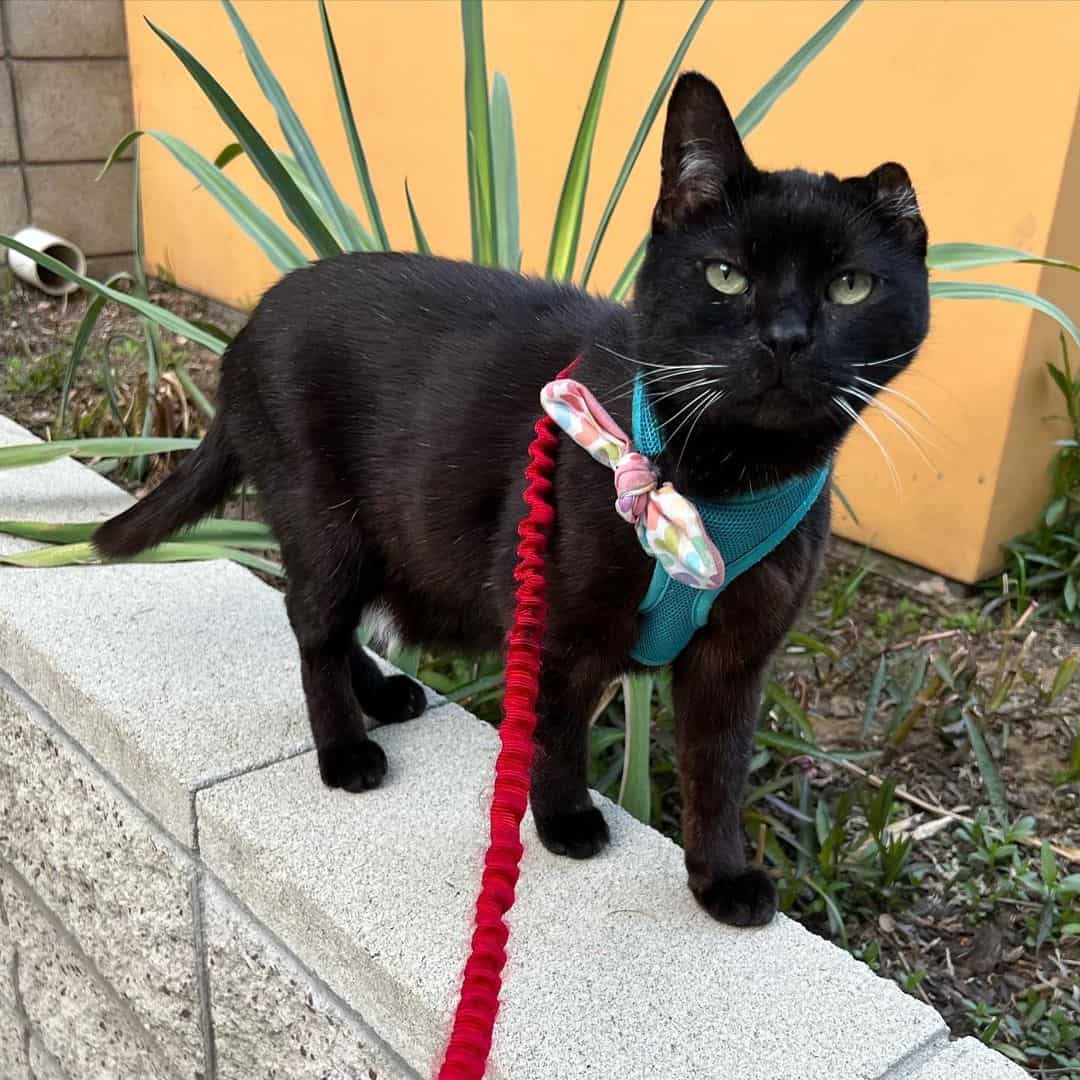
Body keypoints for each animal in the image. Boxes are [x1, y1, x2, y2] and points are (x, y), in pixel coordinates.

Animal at [92, 71, 928, 924]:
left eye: (851, 286)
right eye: (725, 274)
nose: (787, 337)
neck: (722, 479)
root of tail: (247, 327)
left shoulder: (735, 661)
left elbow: (717, 772)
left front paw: (720, 878)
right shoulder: (556, 622)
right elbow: (553, 728)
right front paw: (564, 821)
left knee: (328, 618)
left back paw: (384, 695)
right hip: (324, 518)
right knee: (315, 625)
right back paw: (347, 750)